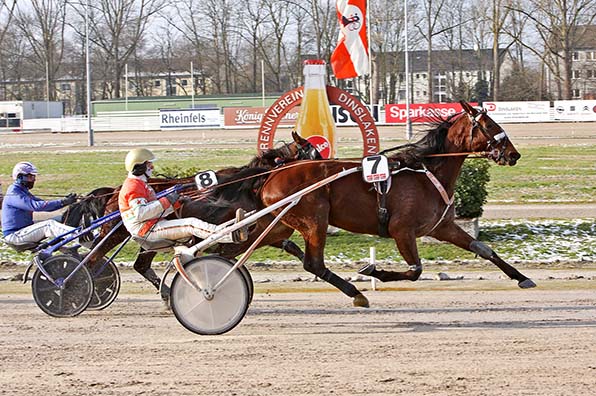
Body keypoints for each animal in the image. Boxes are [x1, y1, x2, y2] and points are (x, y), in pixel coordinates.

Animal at [256, 100, 536, 308]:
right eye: (489, 124)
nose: (513, 154)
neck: (426, 173)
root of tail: (272, 175)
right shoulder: (402, 230)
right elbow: (415, 270)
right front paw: (373, 271)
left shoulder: (442, 227)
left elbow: (484, 250)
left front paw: (522, 277)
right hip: (315, 220)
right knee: (313, 263)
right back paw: (356, 293)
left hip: (288, 223)